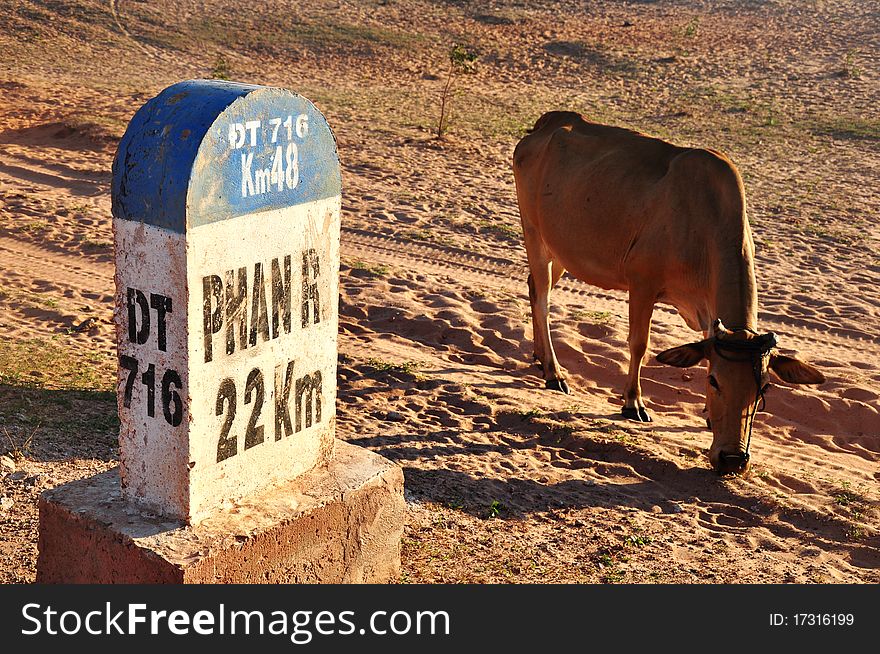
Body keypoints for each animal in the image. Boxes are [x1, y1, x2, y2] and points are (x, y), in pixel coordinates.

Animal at [508, 110, 824, 474]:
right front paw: (633, 403)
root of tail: (545, 125)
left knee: (534, 288)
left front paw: (707, 417)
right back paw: (554, 371)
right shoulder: (642, 283)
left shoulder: (708, 311)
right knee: (543, 300)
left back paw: (539, 356)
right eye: (715, 381)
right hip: (534, 234)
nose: (732, 459)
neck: (703, 226)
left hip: (560, 251)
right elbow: (639, 344)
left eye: (764, 388)